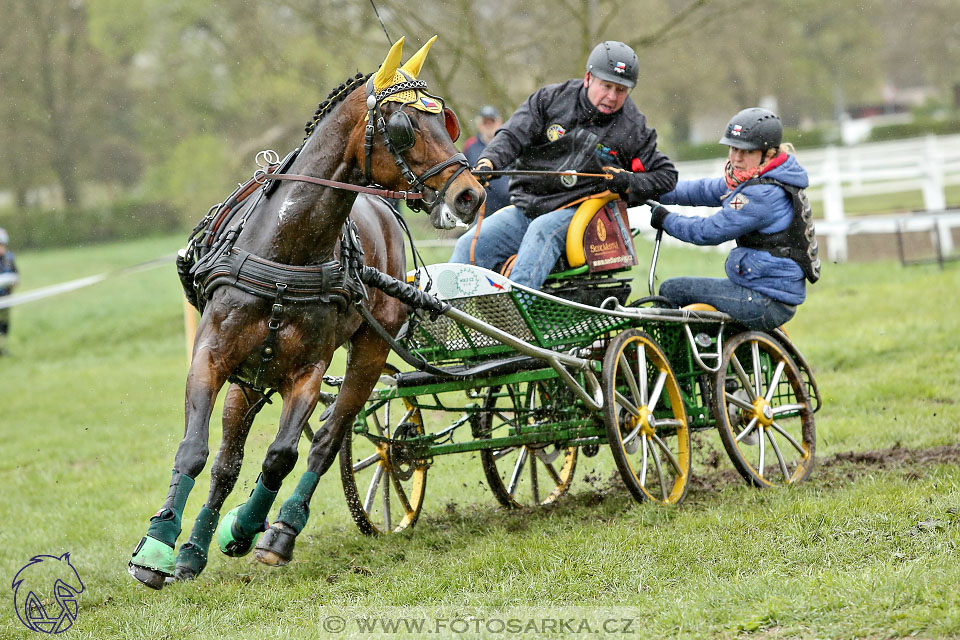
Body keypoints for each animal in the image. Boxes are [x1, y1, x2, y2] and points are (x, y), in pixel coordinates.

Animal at [128, 36, 484, 592]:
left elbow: (282, 456)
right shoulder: (212, 355)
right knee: (228, 460)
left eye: (444, 121)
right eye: (404, 126)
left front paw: (252, 529)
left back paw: (278, 530)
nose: (470, 194)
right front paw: (158, 545)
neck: (286, 249)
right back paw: (193, 549)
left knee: (329, 439)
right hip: (250, 374)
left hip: (367, 351)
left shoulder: (307, 371)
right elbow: (196, 450)